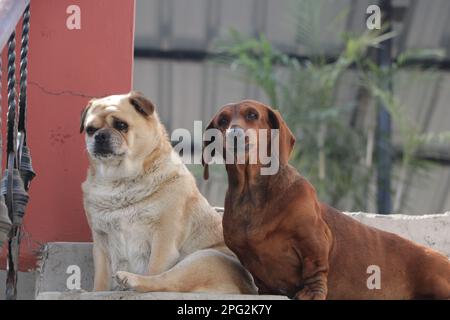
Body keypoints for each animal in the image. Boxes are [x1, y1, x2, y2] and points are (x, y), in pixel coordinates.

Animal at [81, 91, 256, 294]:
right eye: (90, 130)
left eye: (121, 125)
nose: (100, 136)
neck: (119, 181)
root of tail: (248, 288)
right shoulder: (102, 245)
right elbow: (100, 281)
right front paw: (97, 292)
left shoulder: (163, 241)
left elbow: (154, 268)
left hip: (201, 259)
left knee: (164, 282)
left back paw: (131, 279)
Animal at [203, 100, 450, 300]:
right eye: (222, 120)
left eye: (252, 114)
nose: (234, 134)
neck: (252, 195)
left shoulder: (314, 239)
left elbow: (315, 269)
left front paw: (313, 292)